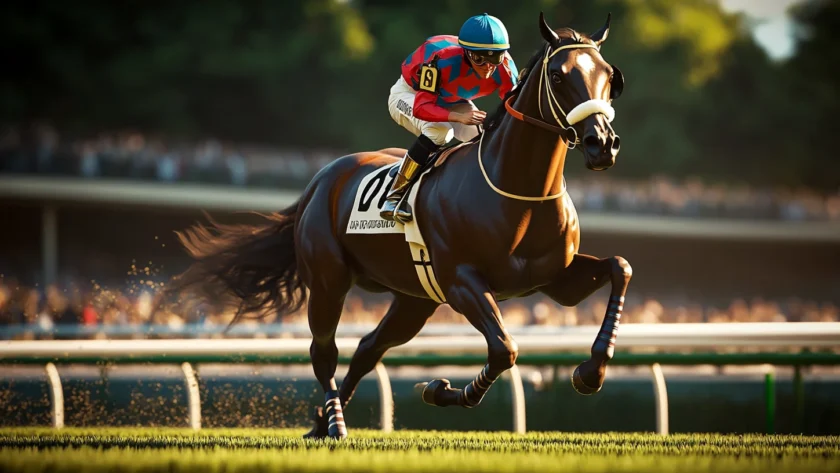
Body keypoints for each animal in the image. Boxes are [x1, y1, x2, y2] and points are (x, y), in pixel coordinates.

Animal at [172, 12, 632, 438]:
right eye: (558, 75)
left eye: (611, 76)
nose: (603, 144)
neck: (516, 191)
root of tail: (320, 181)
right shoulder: (462, 283)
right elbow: (504, 349)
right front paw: (439, 389)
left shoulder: (553, 278)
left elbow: (620, 267)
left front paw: (591, 372)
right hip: (328, 280)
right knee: (324, 352)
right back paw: (335, 424)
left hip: (415, 299)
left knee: (367, 349)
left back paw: (321, 423)